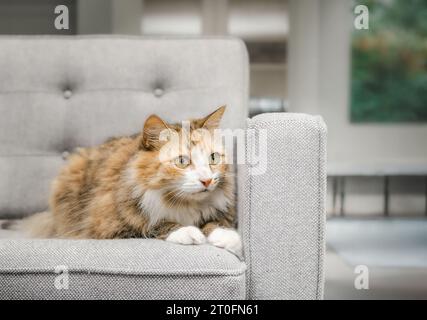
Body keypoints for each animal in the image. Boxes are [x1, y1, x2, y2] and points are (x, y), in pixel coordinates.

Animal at [23, 106, 242, 256]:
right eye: (182, 161)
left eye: (213, 158)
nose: (207, 181)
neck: (182, 204)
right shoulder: (107, 226)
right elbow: (152, 225)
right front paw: (187, 231)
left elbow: (215, 223)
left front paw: (228, 236)